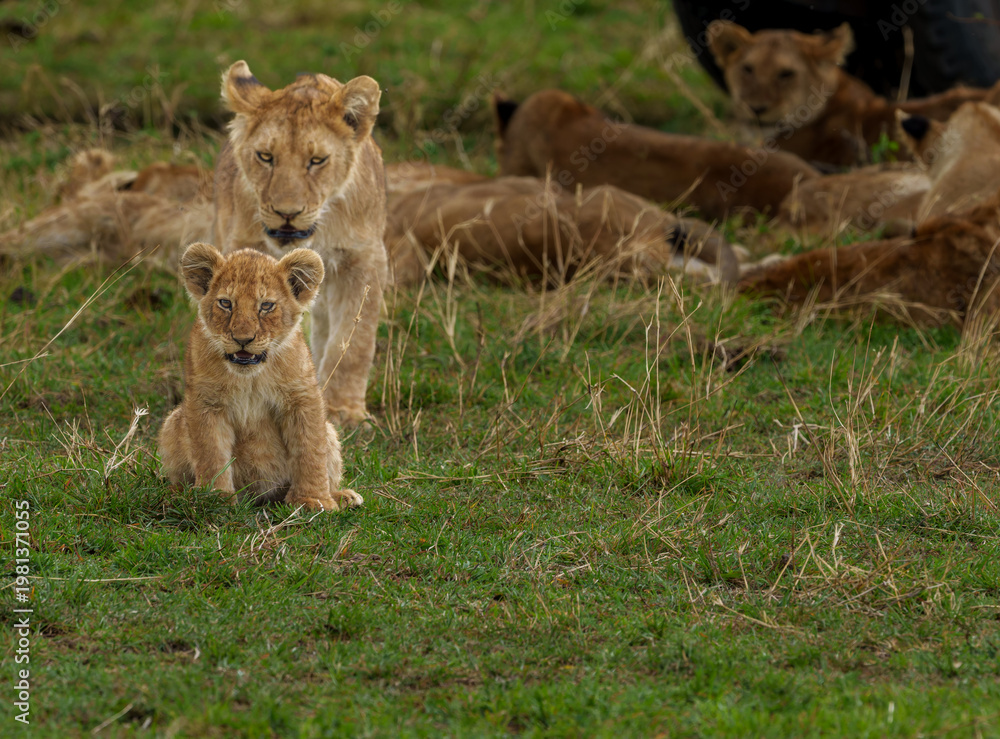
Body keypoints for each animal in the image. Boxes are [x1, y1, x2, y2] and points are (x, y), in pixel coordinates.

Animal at [158, 242, 362, 511]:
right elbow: (211, 452)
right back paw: (177, 494)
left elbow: (310, 450)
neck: (250, 378)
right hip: (173, 421)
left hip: (329, 431)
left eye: (266, 306)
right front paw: (215, 497)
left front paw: (313, 500)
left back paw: (343, 496)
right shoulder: (206, 402)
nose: (243, 339)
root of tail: (259, 498)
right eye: (226, 303)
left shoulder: (302, 398)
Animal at [214, 61, 388, 429]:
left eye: (317, 160)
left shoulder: (364, 259)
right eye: (266, 156)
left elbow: (354, 340)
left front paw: (344, 410)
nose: (287, 213)